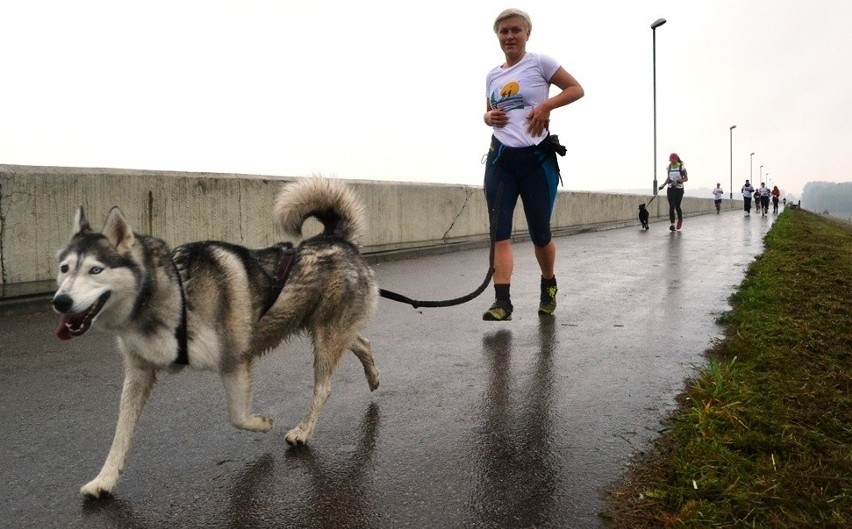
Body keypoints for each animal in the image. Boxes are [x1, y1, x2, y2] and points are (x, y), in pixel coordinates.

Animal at [52, 176, 380, 496]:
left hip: (327, 334)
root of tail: (336, 239)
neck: (175, 295)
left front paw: (262, 424)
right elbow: (121, 433)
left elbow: (238, 416)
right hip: (329, 329)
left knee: (323, 387)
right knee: (362, 341)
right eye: (64, 268)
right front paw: (104, 479)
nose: (60, 301)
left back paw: (304, 430)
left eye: (95, 270)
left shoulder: (235, 360)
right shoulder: (139, 373)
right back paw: (374, 376)